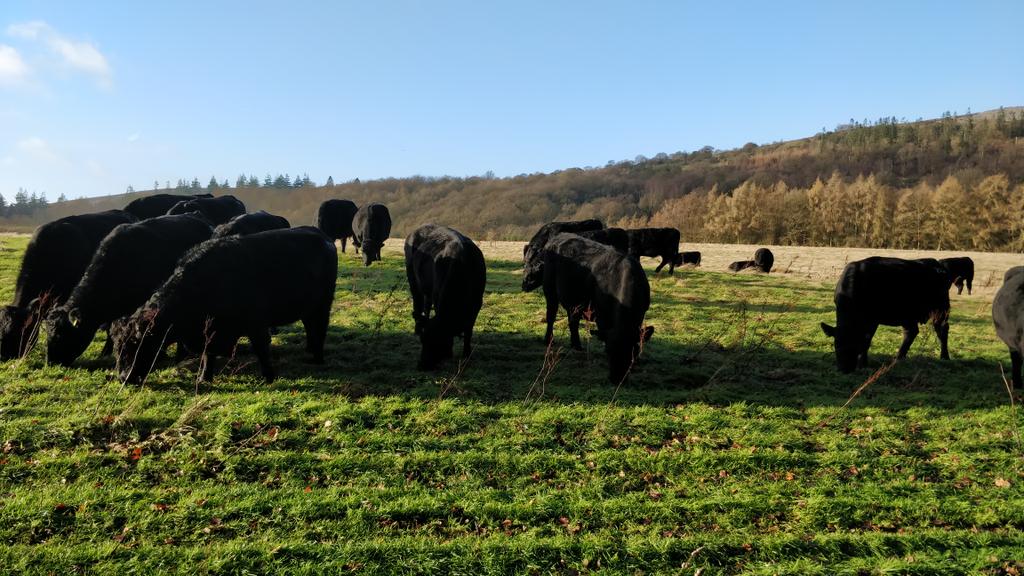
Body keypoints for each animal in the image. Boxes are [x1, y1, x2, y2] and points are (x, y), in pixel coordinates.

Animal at [112, 227, 337, 384]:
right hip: (309, 307)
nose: (124, 377)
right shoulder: (211, 331)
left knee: (320, 329)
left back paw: (318, 357)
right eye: (117, 347)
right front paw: (204, 377)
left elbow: (262, 349)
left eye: (135, 344)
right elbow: (208, 355)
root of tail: (323, 237)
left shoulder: (256, 323)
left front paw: (269, 377)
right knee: (310, 326)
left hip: (323, 304)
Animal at [404, 224, 486, 369]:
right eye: (423, 341)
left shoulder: (477, 303)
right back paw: (418, 328)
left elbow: (469, 331)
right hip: (412, 278)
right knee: (417, 302)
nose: (421, 366)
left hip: (427, 288)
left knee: (426, 305)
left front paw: (466, 354)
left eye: (437, 342)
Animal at [541, 233, 654, 383]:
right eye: (609, 352)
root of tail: (559, 236)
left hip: (574, 302)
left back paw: (577, 345)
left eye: (632, 351)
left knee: (573, 321)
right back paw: (548, 340)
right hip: (549, 290)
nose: (616, 379)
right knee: (551, 315)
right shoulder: (601, 313)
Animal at [821, 257, 951, 373]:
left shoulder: (873, 320)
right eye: (837, 346)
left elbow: (866, 341)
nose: (845, 369)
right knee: (911, 332)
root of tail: (937, 265)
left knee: (942, 330)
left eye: (855, 345)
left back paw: (944, 357)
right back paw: (899, 357)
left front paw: (862, 364)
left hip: (941, 308)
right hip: (907, 315)